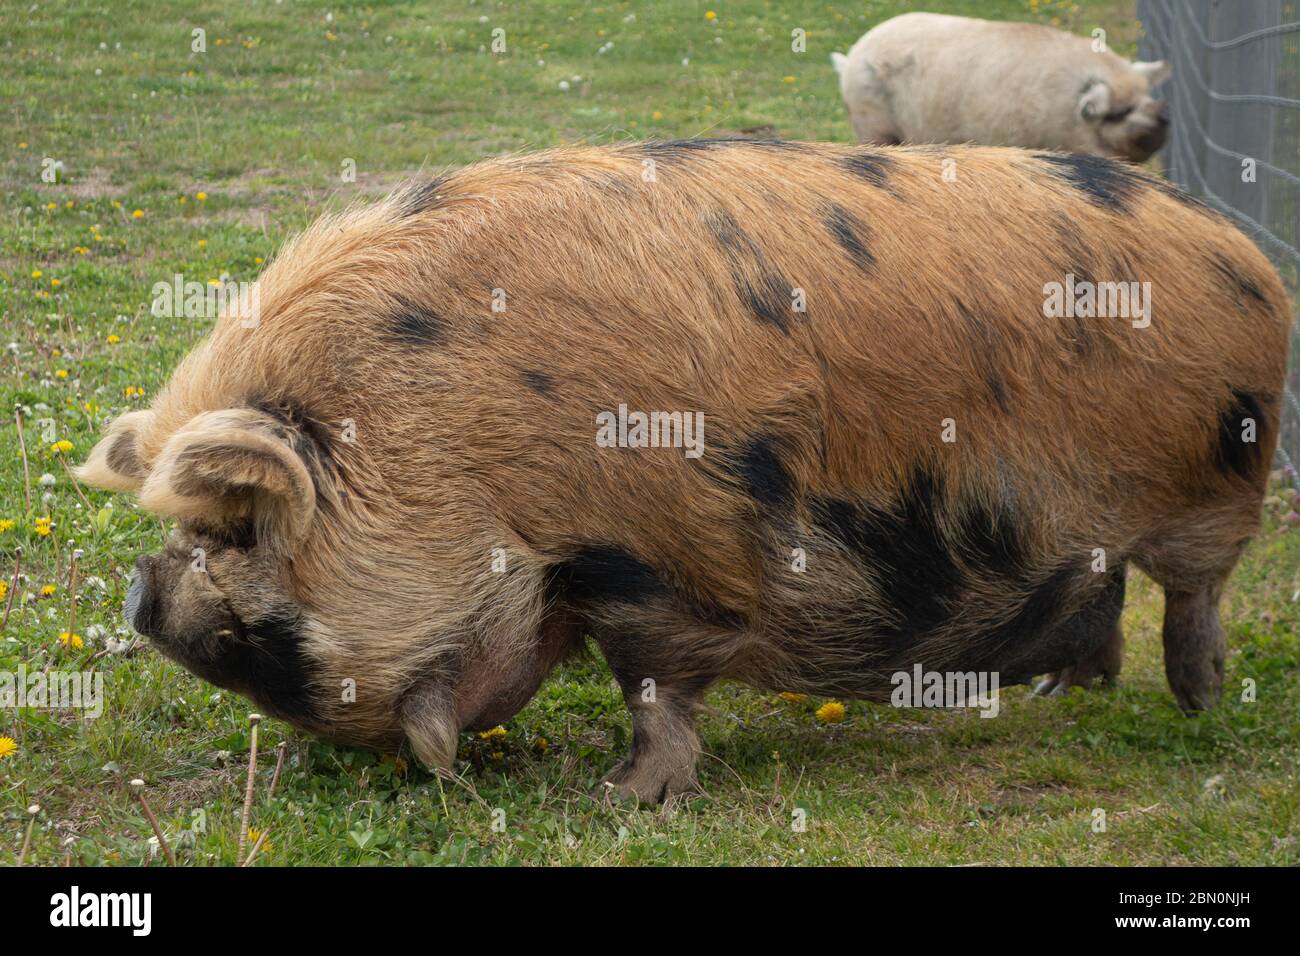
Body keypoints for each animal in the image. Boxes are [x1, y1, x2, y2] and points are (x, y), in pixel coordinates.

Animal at [79, 140, 1288, 804]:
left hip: (1218, 479)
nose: (144, 593)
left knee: (1194, 592)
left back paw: (1198, 706)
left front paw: (626, 802)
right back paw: (1059, 692)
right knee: (1104, 594)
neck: (454, 445)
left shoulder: (665, 556)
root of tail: (1246, 253)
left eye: (238, 529)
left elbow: (656, 681)